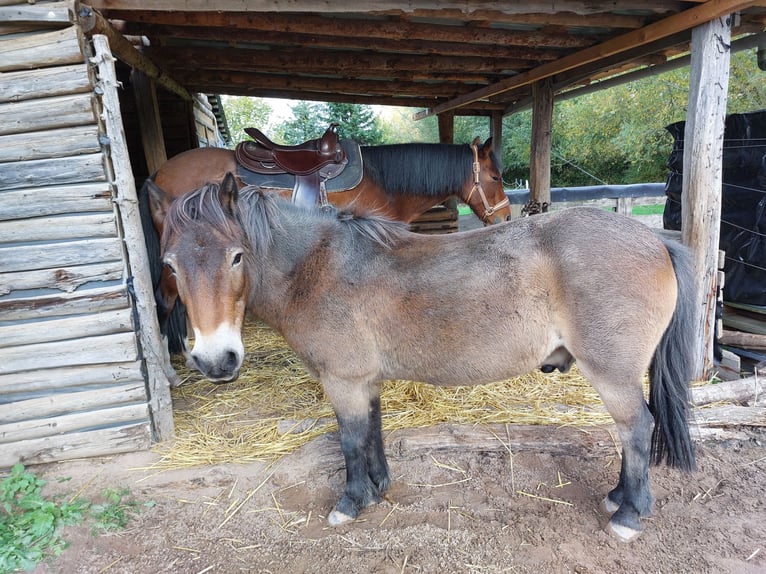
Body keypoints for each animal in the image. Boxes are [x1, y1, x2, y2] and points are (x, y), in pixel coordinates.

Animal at [149, 172, 697, 542]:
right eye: (170, 265)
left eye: (236, 256)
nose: (215, 360)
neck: (317, 267)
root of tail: (655, 239)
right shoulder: (363, 382)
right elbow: (371, 433)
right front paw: (377, 489)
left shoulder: (343, 381)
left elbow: (350, 441)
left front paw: (350, 502)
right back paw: (619, 498)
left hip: (613, 374)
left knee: (636, 429)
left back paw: (628, 514)